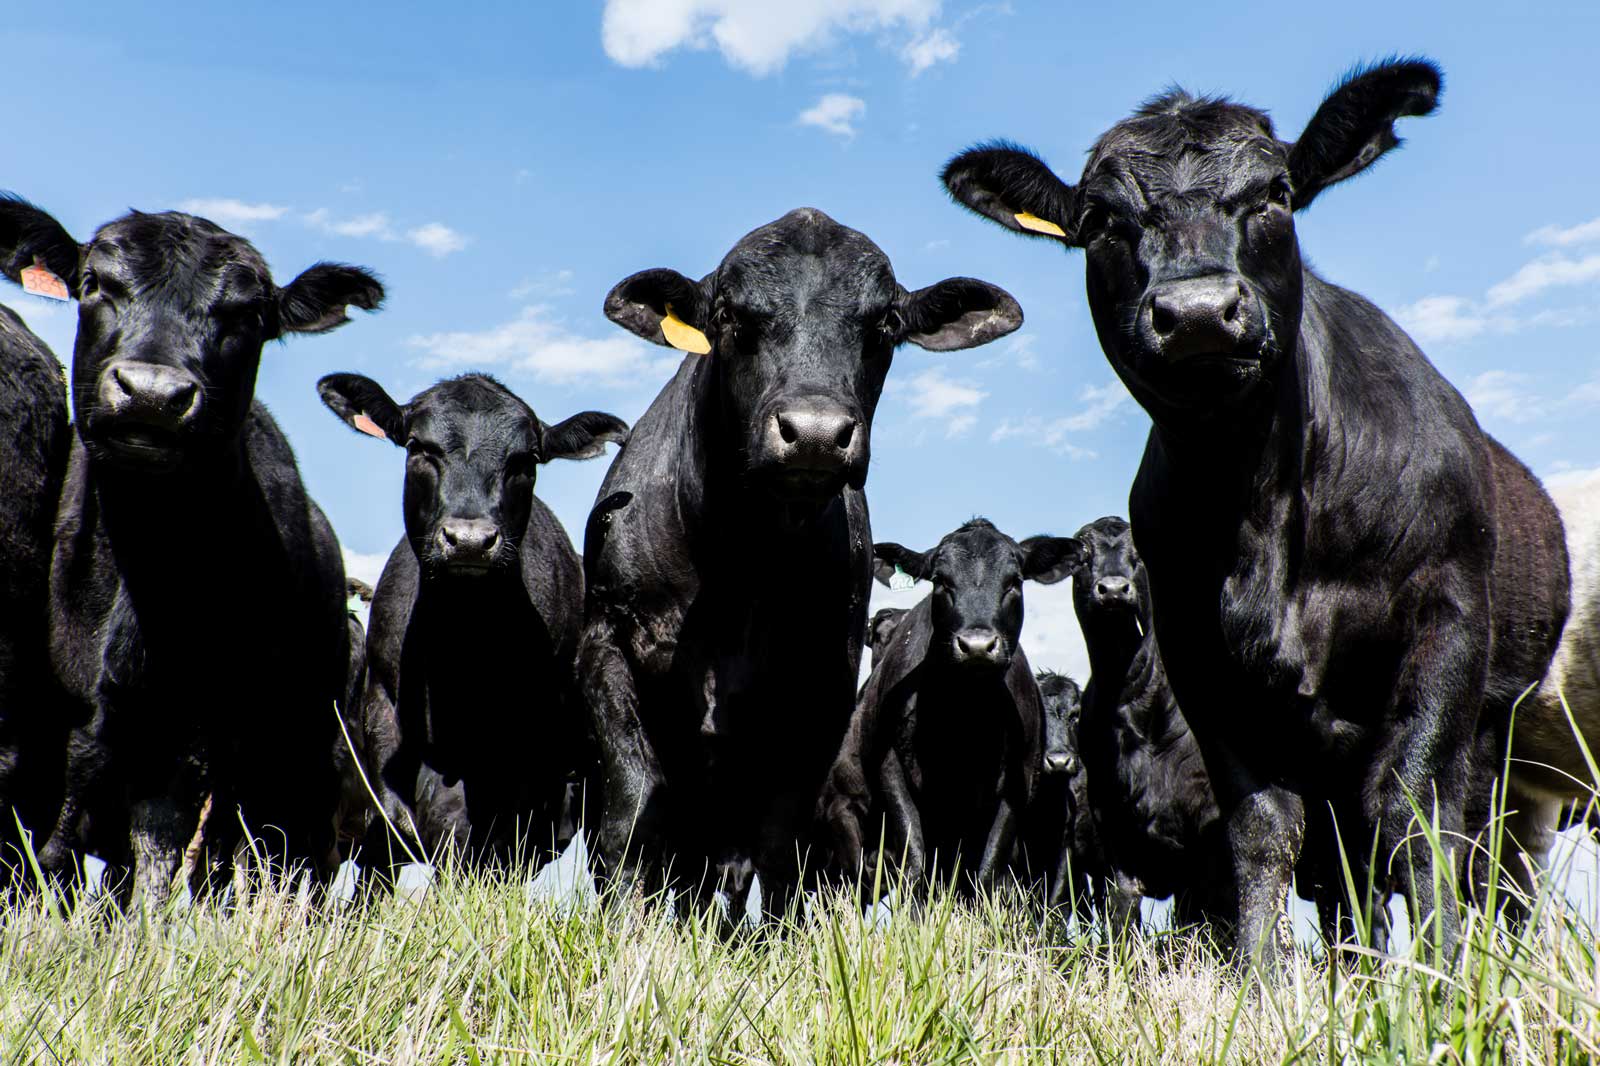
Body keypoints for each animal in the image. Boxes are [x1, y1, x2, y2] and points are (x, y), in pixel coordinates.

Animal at [0, 198, 384, 908]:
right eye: (95, 283)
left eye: (247, 315)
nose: (152, 393)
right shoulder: (77, 723)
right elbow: (66, 847)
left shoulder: (204, 736)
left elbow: (163, 856)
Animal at [582, 208, 1023, 919]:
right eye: (729, 314)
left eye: (885, 323)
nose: (815, 433)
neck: (741, 563)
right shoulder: (607, 644)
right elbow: (633, 805)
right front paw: (621, 921)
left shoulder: (821, 689)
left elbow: (778, 841)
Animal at [824, 520, 1083, 895]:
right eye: (941, 581)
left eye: (1014, 581)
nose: (976, 645)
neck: (963, 715)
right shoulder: (891, 770)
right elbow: (914, 859)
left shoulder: (1018, 782)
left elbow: (988, 870)